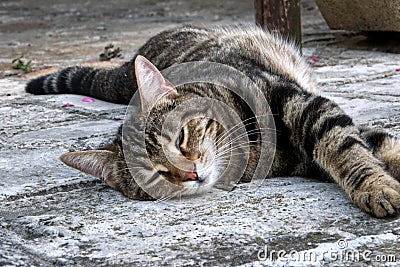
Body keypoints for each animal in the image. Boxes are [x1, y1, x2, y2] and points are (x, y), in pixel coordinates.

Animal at [26, 24, 400, 218]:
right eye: (154, 173)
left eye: (179, 137)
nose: (190, 174)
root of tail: (126, 68)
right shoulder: (306, 157)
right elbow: (359, 148)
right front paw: (380, 184)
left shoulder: (302, 105)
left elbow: (348, 147)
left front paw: (377, 187)